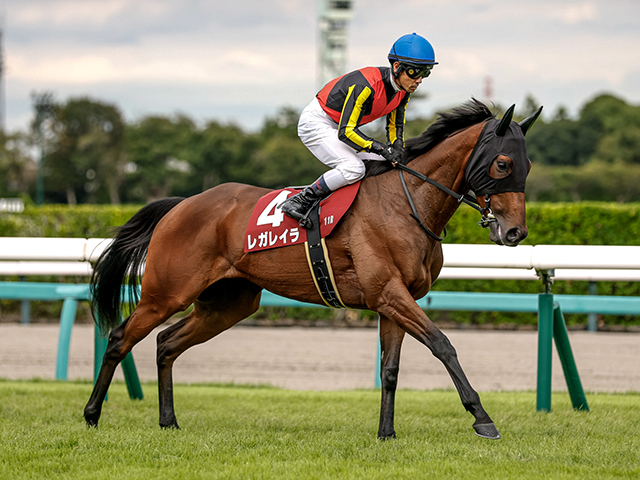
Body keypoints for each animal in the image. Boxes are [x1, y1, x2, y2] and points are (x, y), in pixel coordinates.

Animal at [84, 98, 542, 440]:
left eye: (528, 166)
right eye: (503, 164)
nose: (515, 231)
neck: (406, 203)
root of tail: (180, 205)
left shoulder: (395, 299)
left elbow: (390, 370)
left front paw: (386, 433)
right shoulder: (389, 293)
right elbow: (443, 344)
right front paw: (482, 417)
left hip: (228, 303)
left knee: (166, 343)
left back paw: (168, 421)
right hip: (166, 292)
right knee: (122, 337)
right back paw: (91, 415)